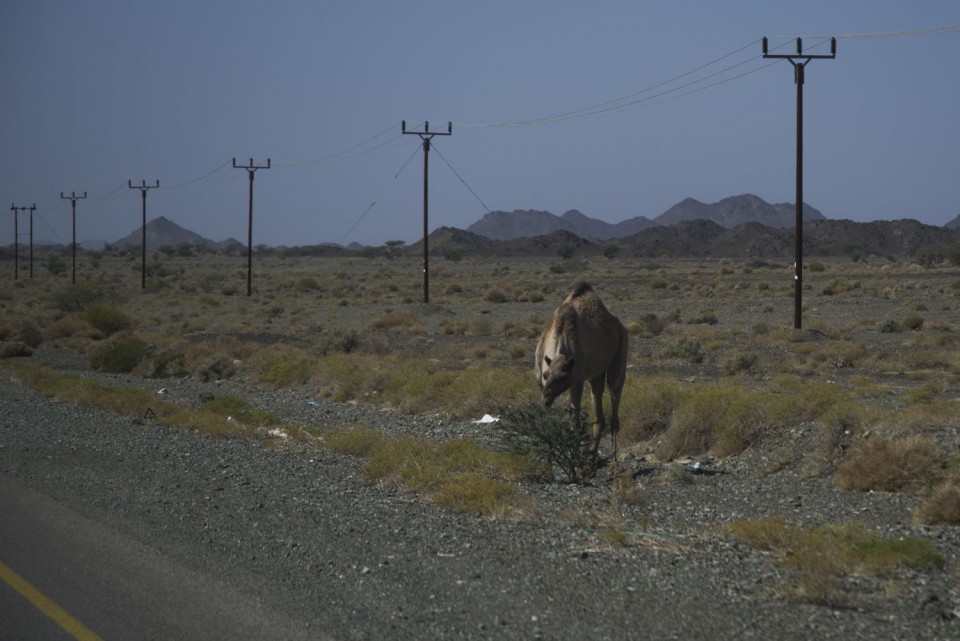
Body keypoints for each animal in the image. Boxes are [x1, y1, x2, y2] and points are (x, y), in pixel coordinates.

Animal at [532, 282, 632, 468]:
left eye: (563, 377)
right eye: (546, 375)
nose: (547, 397)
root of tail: (619, 324)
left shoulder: (576, 380)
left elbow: (576, 424)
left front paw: (575, 463)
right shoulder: (540, 382)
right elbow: (546, 422)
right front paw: (545, 463)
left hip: (621, 349)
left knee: (615, 395)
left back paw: (613, 463)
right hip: (596, 374)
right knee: (599, 412)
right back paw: (591, 462)